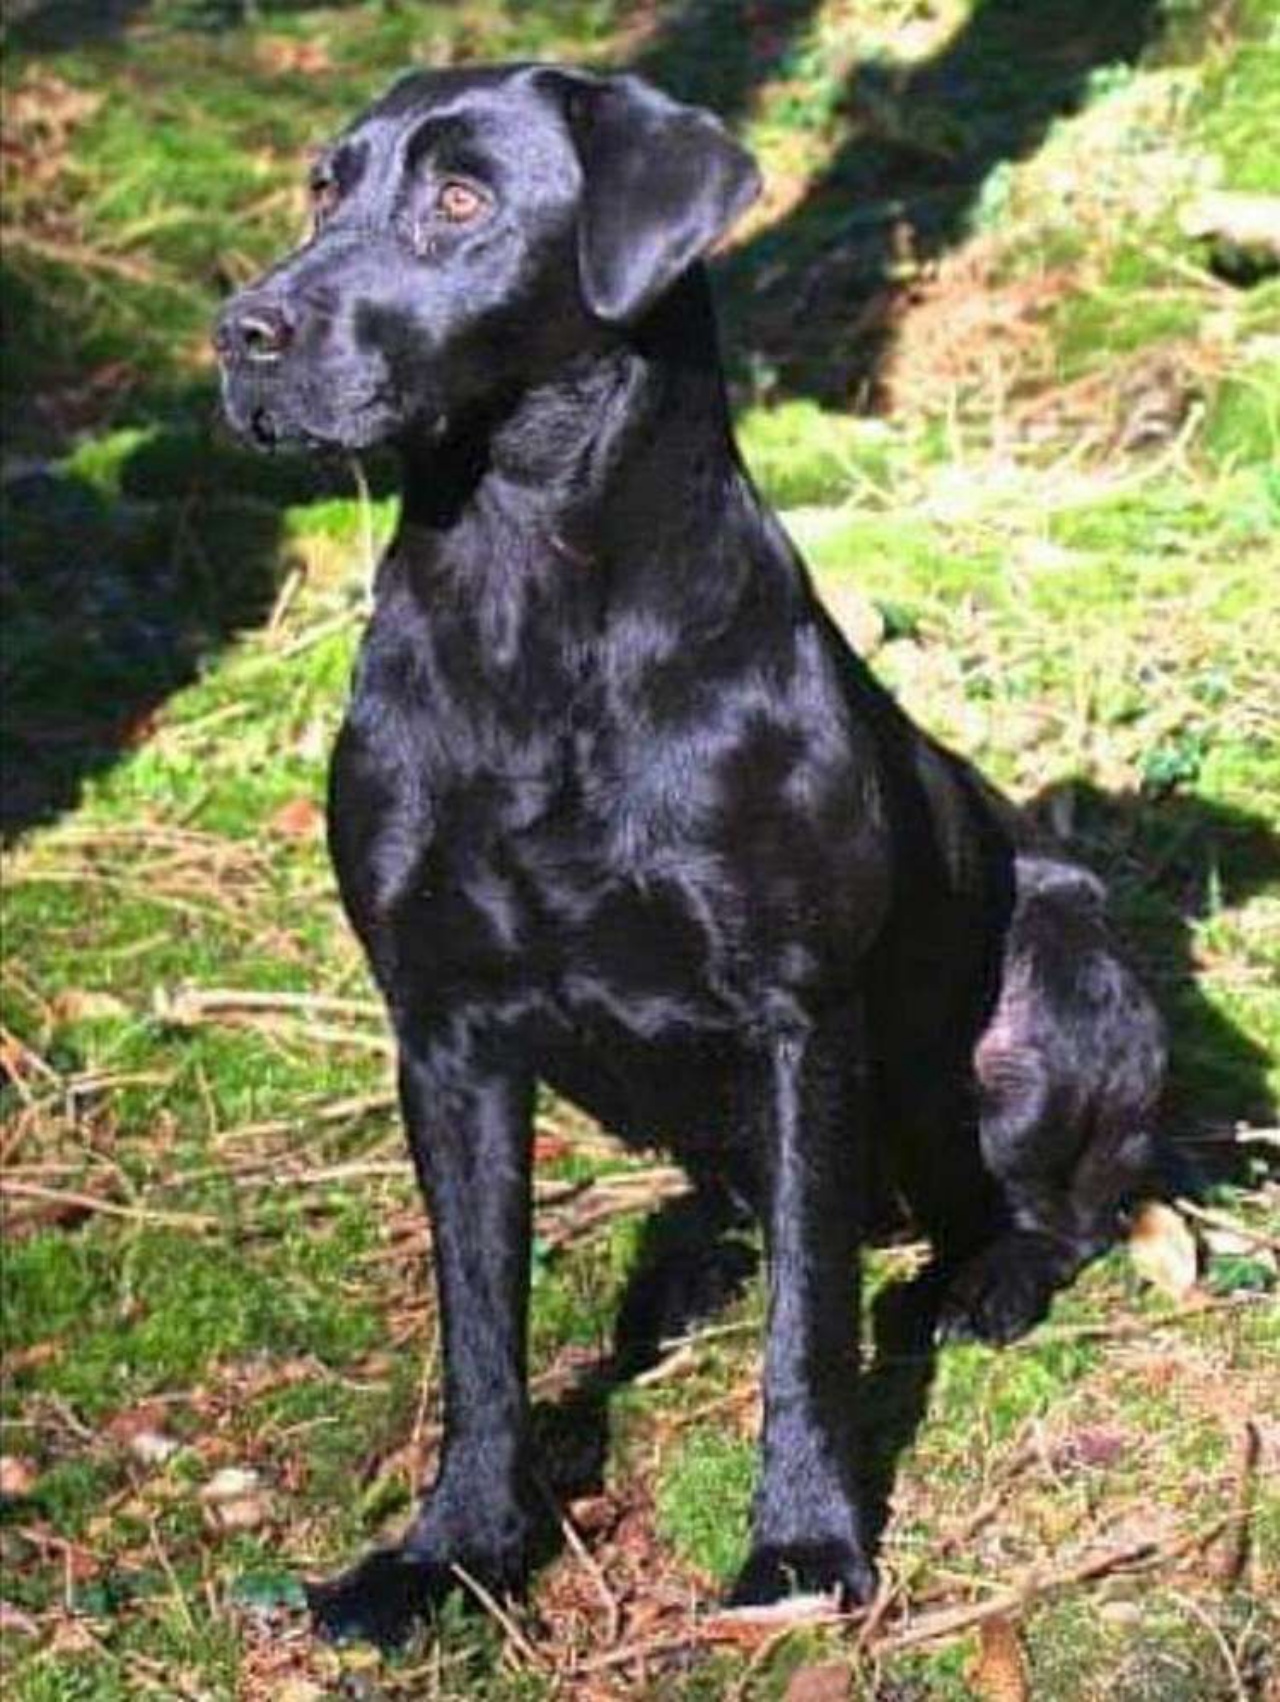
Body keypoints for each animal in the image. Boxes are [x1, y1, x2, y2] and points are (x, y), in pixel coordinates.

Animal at [215, 69, 1164, 1647]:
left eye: (461, 200)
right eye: (322, 188)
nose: (241, 333)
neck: (522, 598)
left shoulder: (798, 1014)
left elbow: (810, 1329)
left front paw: (802, 1544)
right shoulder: (445, 1029)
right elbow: (481, 1329)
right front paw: (451, 1551)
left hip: (1067, 967)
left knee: (1061, 1203)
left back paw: (977, 1284)